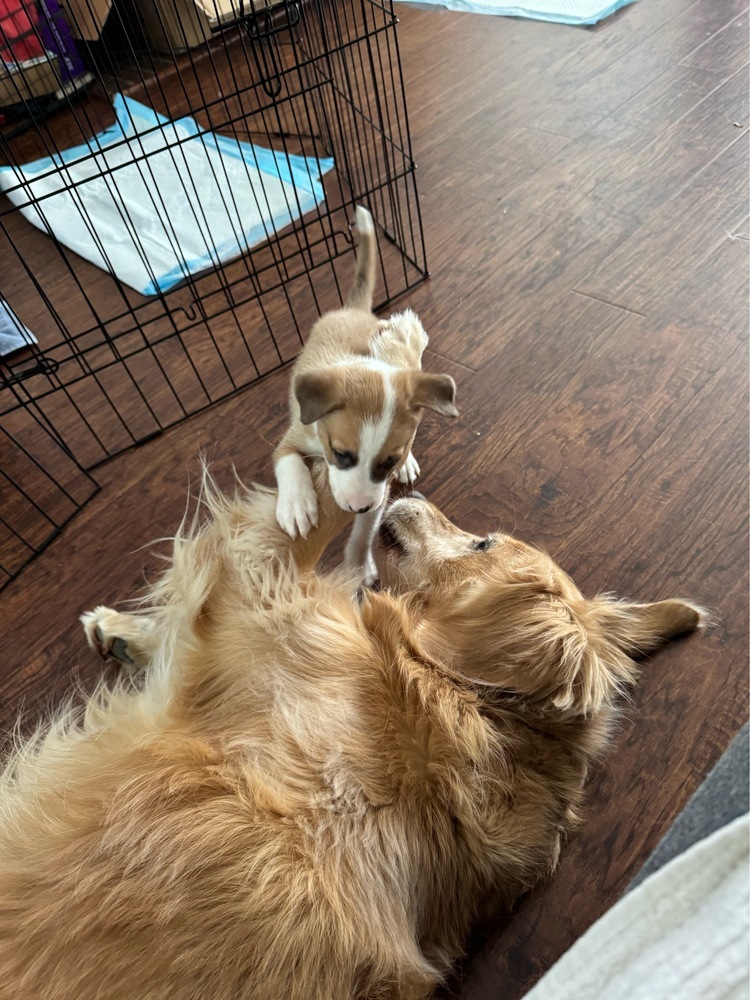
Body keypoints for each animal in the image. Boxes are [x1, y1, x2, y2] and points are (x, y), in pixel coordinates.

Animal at [274, 205, 458, 580]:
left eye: (388, 461)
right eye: (340, 454)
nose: (357, 506)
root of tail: (354, 310)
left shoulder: (379, 494)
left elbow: (364, 532)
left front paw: (359, 565)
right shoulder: (291, 439)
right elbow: (289, 461)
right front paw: (297, 504)